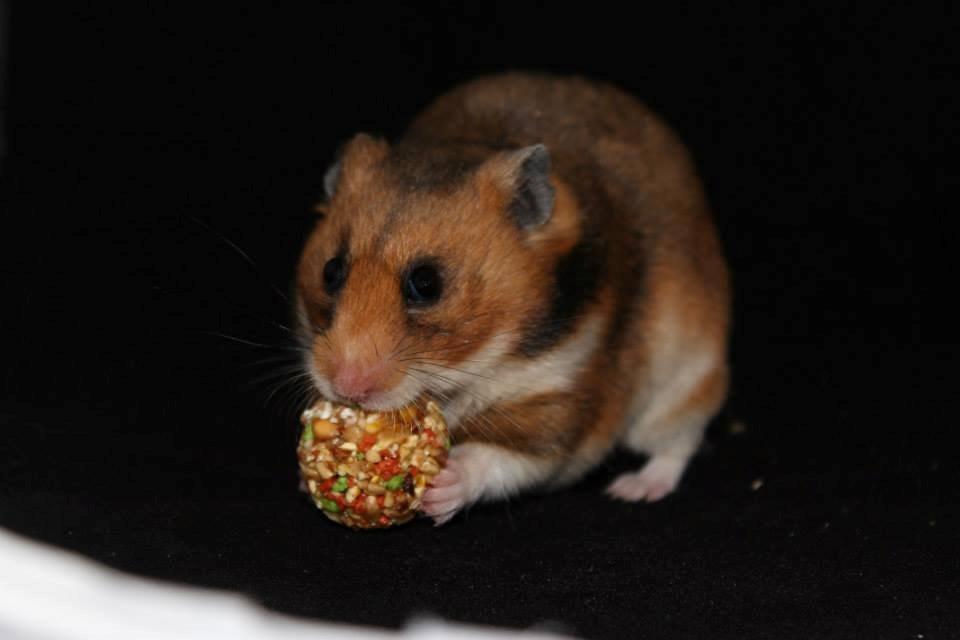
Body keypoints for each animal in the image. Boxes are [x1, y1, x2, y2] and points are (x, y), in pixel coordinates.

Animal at [294, 72, 730, 525]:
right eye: (331, 272)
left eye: (427, 283)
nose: (345, 388)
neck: (470, 366)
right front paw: (304, 484)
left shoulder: (563, 399)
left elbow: (505, 456)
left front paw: (442, 487)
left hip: (686, 378)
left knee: (677, 443)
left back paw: (634, 489)